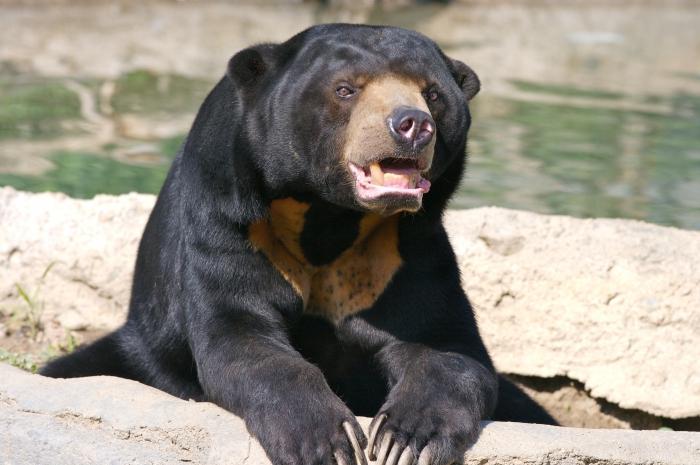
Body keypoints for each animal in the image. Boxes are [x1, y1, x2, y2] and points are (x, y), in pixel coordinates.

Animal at [41, 24, 556, 464]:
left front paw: (405, 440)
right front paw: (328, 441)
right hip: (143, 345)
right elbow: (242, 335)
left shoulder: (403, 248)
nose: (412, 124)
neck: (329, 215)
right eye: (346, 89)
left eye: (432, 93)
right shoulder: (229, 221)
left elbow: (444, 344)